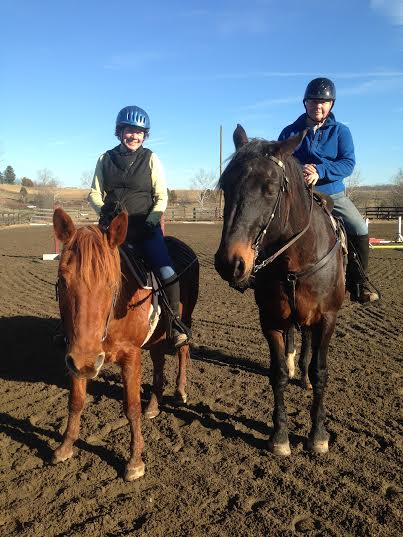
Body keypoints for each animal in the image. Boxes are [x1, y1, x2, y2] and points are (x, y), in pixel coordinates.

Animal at [52, 207, 200, 480]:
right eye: (63, 280)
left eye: (112, 284)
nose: (88, 362)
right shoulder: (76, 354)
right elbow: (76, 401)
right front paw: (65, 446)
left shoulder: (130, 355)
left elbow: (131, 407)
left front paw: (134, 461)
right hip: (155, 337)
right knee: (159, 366)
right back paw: (153, 406)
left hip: (184, 319)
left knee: (183, 352)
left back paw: (180, 391)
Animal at [216, 124, 346, 456]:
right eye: (226, 185)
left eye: (270, 187)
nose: (230, 263)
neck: (296, 262)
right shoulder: (272, 320)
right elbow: (277, 376)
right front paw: (279, 437)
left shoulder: (327, 319)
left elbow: (320, 372)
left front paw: (318, 435)